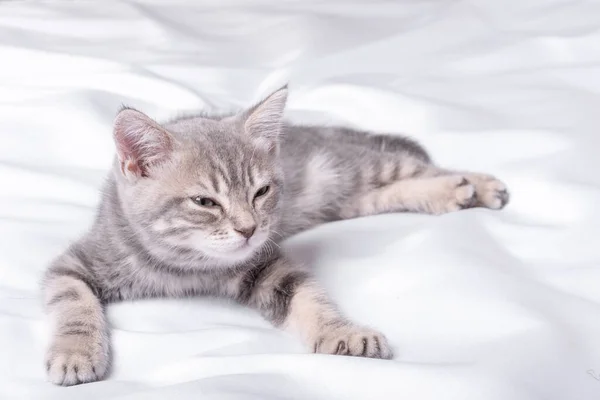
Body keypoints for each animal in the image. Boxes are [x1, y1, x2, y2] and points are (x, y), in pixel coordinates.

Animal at [43, 85, 510, 384]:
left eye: (261, 192)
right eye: (205, 202)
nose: (249, 228)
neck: (183, 266)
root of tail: (311, 127)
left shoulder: (265, 264)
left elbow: (309, 297)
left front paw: (342, 333)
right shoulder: (76, 262)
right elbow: (74, 304)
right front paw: (75, 353)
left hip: (349, 168)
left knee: (417, 165)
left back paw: (473, 185)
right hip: (347, 199)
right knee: (392, 188)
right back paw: (456, 192)